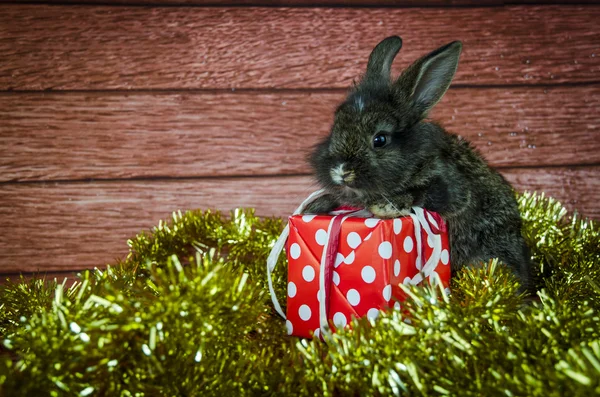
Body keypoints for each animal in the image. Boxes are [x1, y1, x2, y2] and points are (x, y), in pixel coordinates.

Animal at [308, 36, 532, 290]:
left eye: (380, 139)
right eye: (335, 128)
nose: (341, 171)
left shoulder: (451, 191)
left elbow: (422, 194)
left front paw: (384, 207)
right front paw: (316, 205)